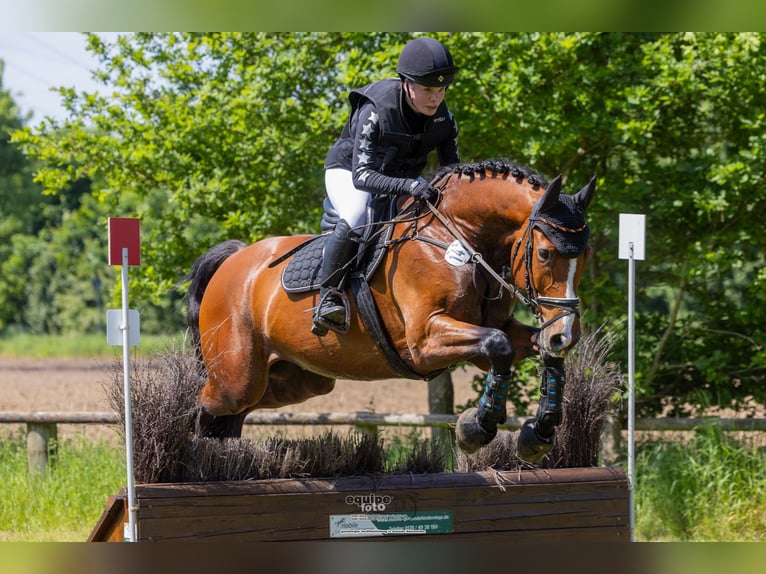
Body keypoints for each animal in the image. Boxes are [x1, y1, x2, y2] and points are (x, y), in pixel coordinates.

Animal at [189, 161, 596, 464]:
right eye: (544, 253)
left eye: (586, 256)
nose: (565, 334)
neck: (459, 239)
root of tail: (235, 260)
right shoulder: (425, 342)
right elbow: (499, 346)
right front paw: (475, 428)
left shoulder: (486, 335)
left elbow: (525, 349)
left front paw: (539, 431)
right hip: (237, 378)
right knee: (205, 405)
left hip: (295, 379)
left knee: (234, 416)